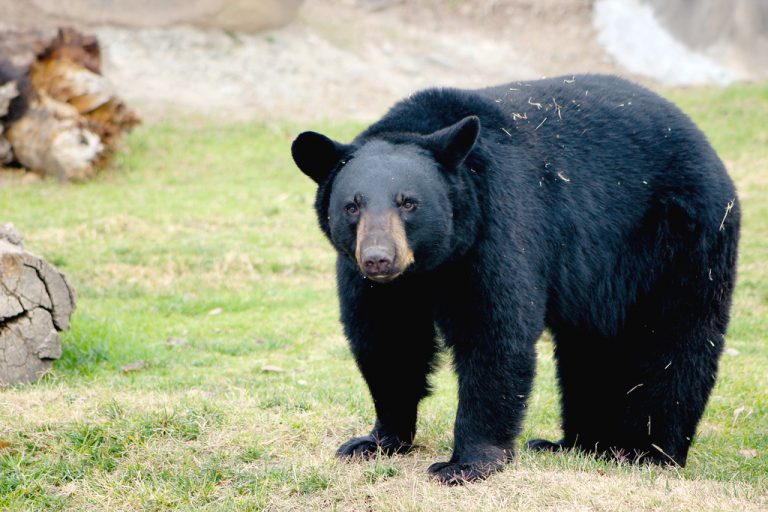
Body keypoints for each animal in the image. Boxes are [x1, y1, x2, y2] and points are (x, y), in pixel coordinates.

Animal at [292, 74, 740, 482]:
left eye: (409, 203)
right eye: (352, 206)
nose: (379, 259)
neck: (429, 267)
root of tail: (706, 145)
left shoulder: (497, 226)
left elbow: (494, 332)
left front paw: (465, 464)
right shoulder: (371, 283)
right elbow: (387, 342)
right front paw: (376, 440)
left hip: (679, 238)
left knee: (672, 342)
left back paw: (648, 452)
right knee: (590, 348)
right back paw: (575, 444)